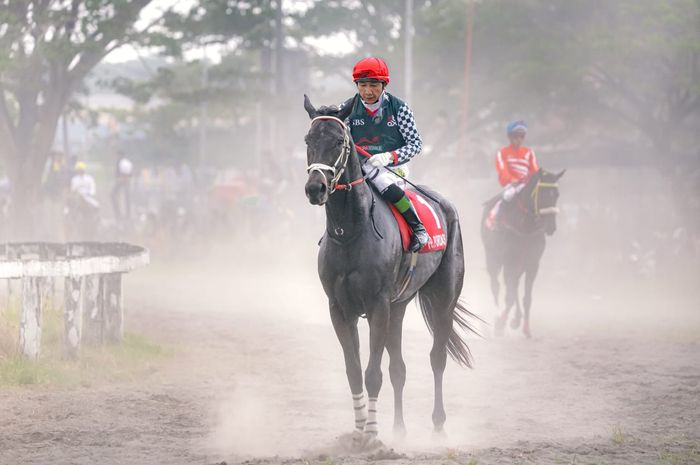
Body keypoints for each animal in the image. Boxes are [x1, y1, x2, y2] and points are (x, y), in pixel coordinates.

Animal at [300, 95, 476, 442]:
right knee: (399, 369)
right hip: (399, 306)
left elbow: (372, 373)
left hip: (443, 299)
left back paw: (438, 426)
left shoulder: (377, 305)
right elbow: (355, 372)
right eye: (308, 140)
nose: (316, 188)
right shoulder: (340, 308)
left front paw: (371, 434)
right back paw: (399, 429)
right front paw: (359, 431)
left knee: (437, 358)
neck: (350, 232)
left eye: (339, 141)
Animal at [482, 169, 564, 338]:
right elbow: (510, 294)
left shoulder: (532, 263)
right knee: (496, 286)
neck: (525, 226)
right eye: (543, 194)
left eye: (556, 194)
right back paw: (497, 316)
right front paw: (500, 323)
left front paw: (525, 328)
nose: (551, 226)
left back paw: (515, 318)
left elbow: (526, 297)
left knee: (512, 285)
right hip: (492, 257)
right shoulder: (509, 260)